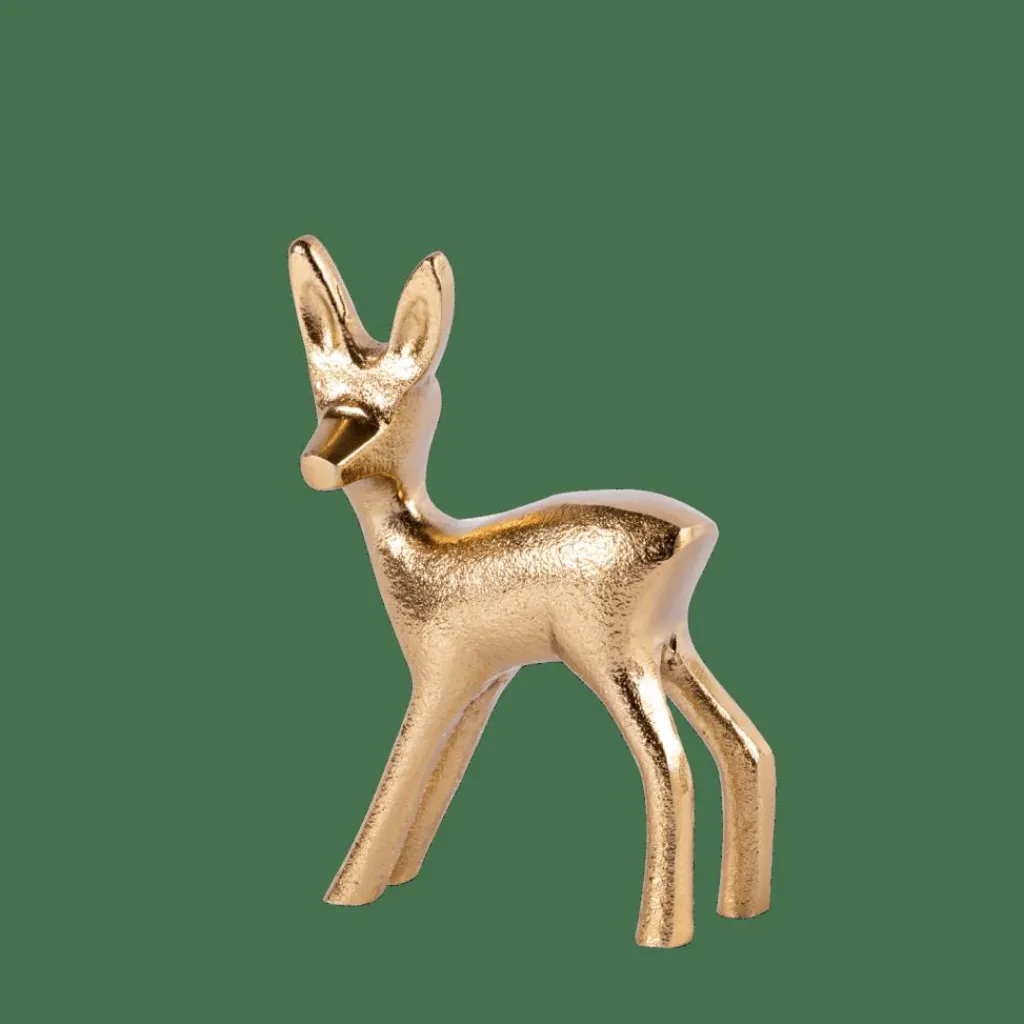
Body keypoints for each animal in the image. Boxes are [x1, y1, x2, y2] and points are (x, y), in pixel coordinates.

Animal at [287, 235, 775, 947]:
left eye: (374, 419)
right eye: (325, 406)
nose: (315, 465)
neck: (424, 551)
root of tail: (694, 531)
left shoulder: (438, 669)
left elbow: (402, 770)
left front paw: (348, 891)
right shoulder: (488, 677)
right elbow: (440, 774)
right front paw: (402, 874)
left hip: (609, 654)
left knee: (670, 765)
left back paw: (660, 933)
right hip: (671, 646)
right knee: (747, 748)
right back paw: (743, 906)